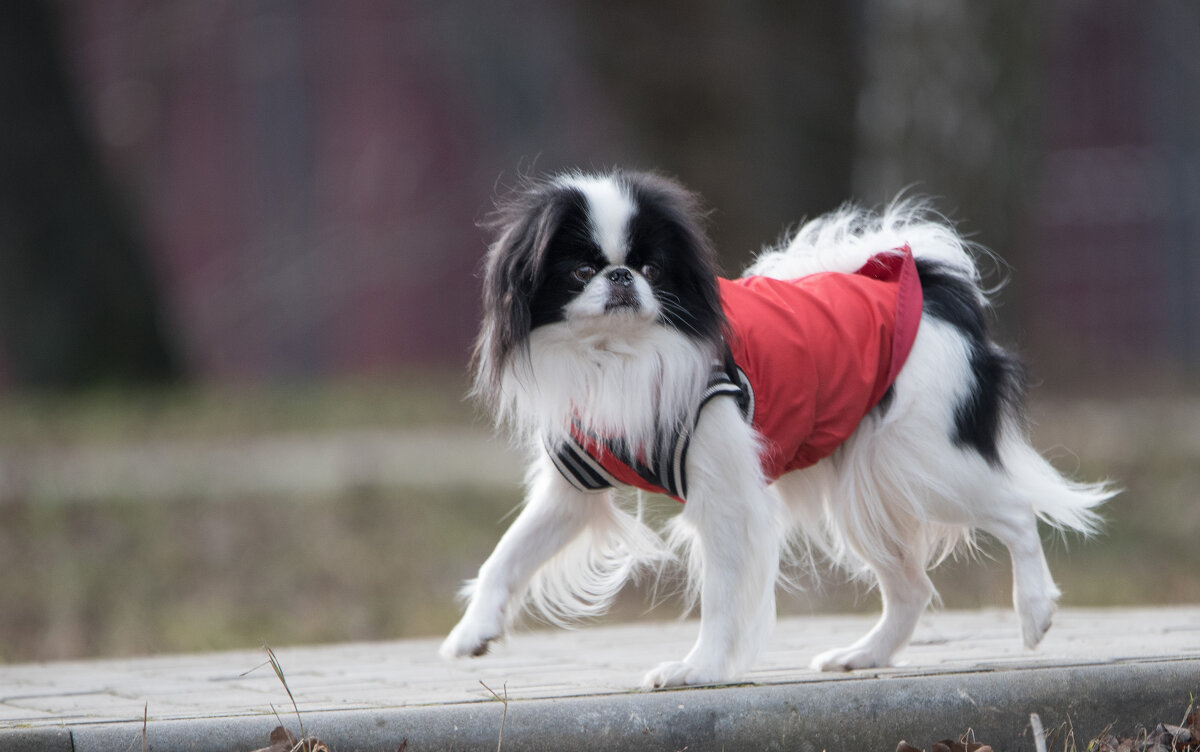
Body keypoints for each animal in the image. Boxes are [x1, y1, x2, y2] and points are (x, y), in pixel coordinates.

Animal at [441, 169, 1113, 690]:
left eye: (652, 268)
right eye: (581, 271)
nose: (621, 276)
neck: (618, 356)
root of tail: (927, 287)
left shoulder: (727, 500)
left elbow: (722, 595)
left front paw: (699, 670)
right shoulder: (573, 488)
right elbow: (509, 554)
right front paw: (473, 633)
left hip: (922, 463)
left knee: (1015, 512)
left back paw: (1035, 614)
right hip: (863, 487)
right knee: (912, 587)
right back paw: (862, 656)